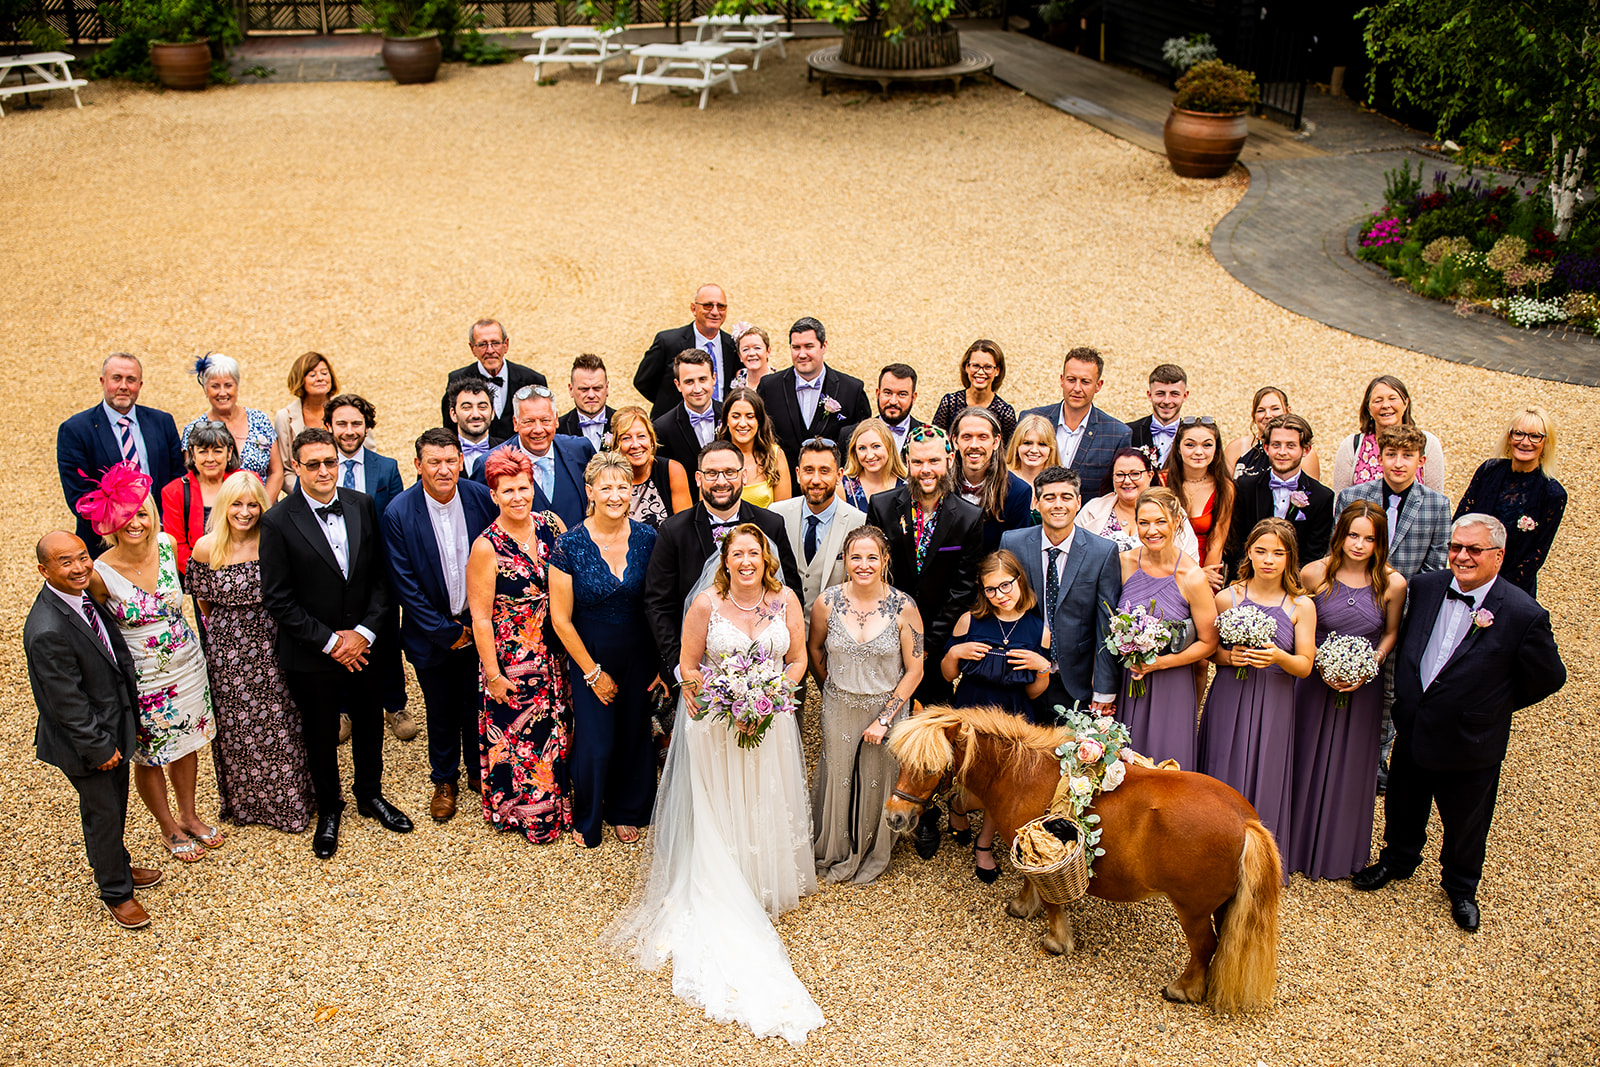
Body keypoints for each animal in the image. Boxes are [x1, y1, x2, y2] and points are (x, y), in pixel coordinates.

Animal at [883, 703, 1280, 1017]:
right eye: (900, 761)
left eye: (931, 767)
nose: (894, 817)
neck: (1021, 773)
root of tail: (1247, 822)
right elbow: (1028, 882)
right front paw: (1022, 905)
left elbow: (1050, 901)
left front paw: (1056, 939)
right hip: (1222, 905)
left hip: (1193, 909)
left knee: (1204, 947)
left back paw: (1184, 988)